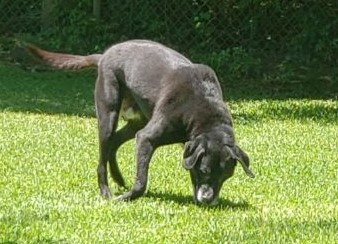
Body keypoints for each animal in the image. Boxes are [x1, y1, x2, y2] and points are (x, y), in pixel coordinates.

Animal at [27, 40, 254, 206]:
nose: (209, 201)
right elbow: (141, 182)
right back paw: (106, 192)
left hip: (137, 121)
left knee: (115, 142)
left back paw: (118, 178)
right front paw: (124, 198)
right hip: (108, 114)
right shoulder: (148, 138)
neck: (203, 109)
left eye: (226, 176)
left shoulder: (167, 140)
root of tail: (104, 55)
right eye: (205, 171)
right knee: (103, 156)